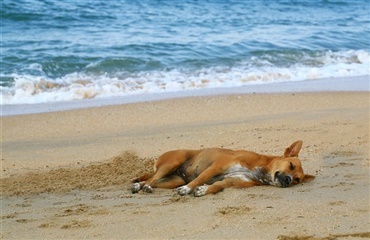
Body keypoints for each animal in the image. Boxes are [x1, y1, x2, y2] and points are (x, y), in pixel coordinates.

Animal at [131, 141, 316, 197]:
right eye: (291, 165)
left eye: (297, 180)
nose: (289, 180)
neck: (260, 169)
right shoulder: (217, 166)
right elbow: (201, 178)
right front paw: (188, 189)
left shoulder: (232, 181)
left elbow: (217, 186)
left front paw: (204, 190)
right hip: (173, 162)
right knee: (151, 178)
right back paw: (140, 185)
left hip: (173, 180)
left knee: (153, 181)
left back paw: (145, 187)